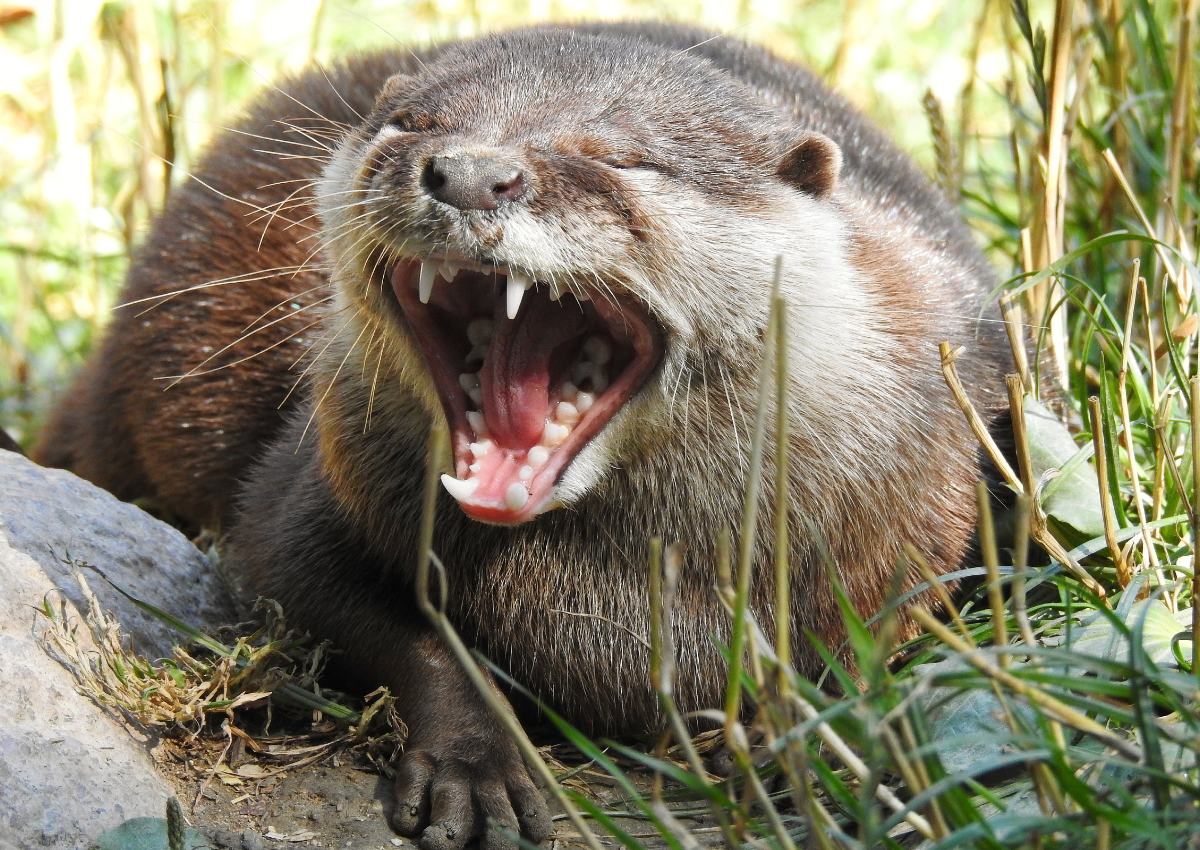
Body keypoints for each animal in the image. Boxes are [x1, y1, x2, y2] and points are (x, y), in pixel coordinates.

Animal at [35, 23, 1012, 850]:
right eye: (413, 125)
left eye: (622, 158)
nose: (468, 172)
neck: (606, 600)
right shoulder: (314, 487)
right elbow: (330, 589)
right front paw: (475, 761)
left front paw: (833, 750)